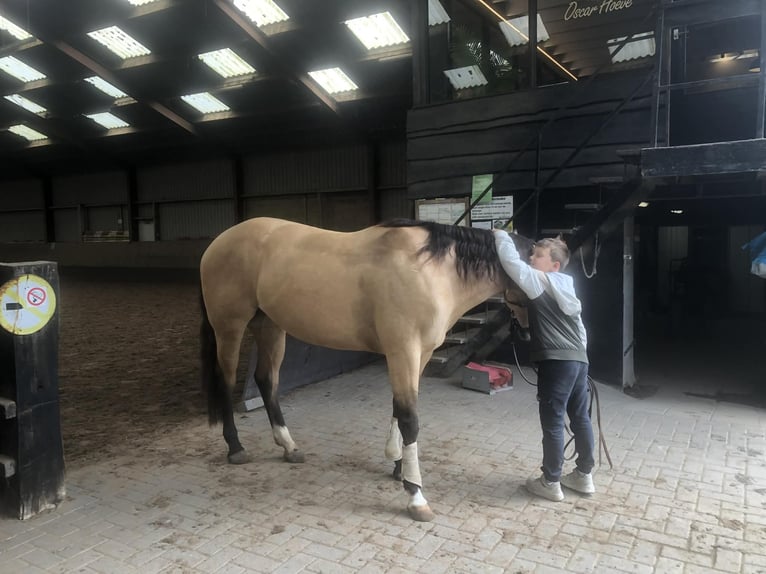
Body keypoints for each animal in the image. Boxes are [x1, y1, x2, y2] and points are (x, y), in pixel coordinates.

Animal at [199, 217, 533, 521]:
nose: (529, 337)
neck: (431, 272)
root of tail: (218, 242)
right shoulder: (403, 351)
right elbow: (409, 418)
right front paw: (415, 495)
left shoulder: (420, 354)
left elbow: (400, 409)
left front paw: (399, 467)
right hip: (230, 327)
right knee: (226, 381)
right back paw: (235, 447)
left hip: (270, 326)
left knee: (266, 380)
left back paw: (289, 446)